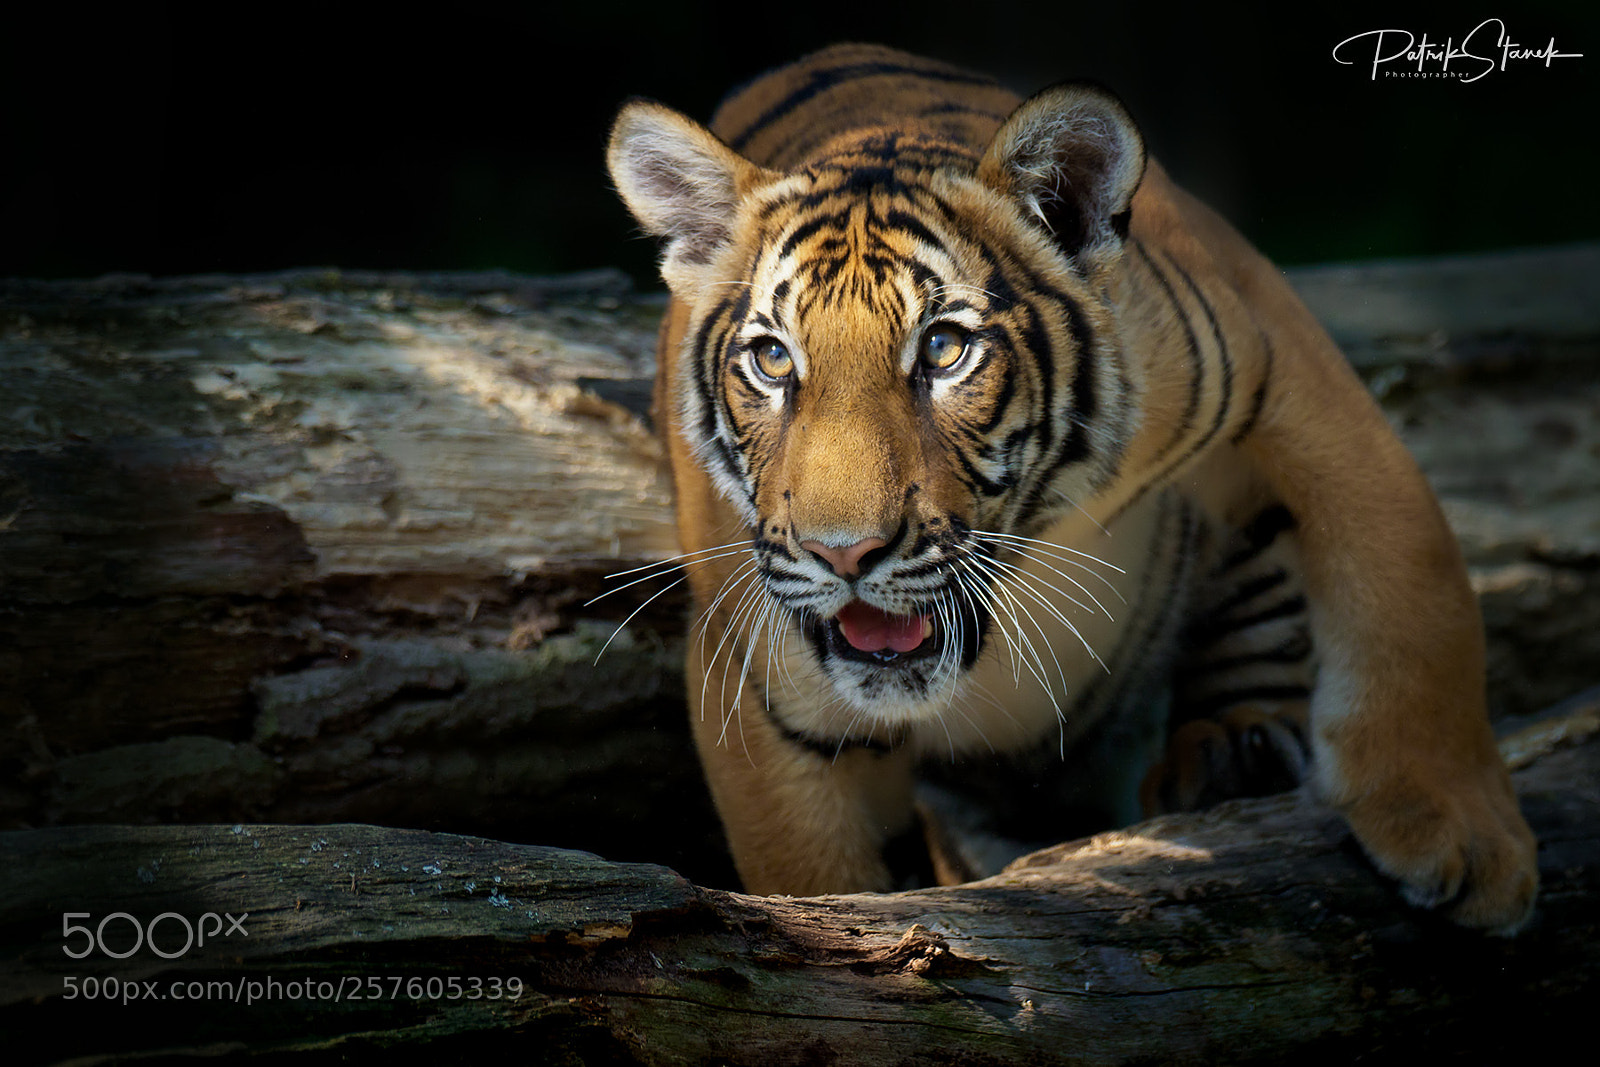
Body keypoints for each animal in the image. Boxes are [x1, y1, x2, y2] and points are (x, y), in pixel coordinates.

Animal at [605, 43, 1536, 932]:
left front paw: (1472, 841)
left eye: (944, 350)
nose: (844, 554)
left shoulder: (1284, 369)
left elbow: (1411, 581)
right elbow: (807, 877)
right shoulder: (757, 679)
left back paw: (1232, 754)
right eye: (772, 360)